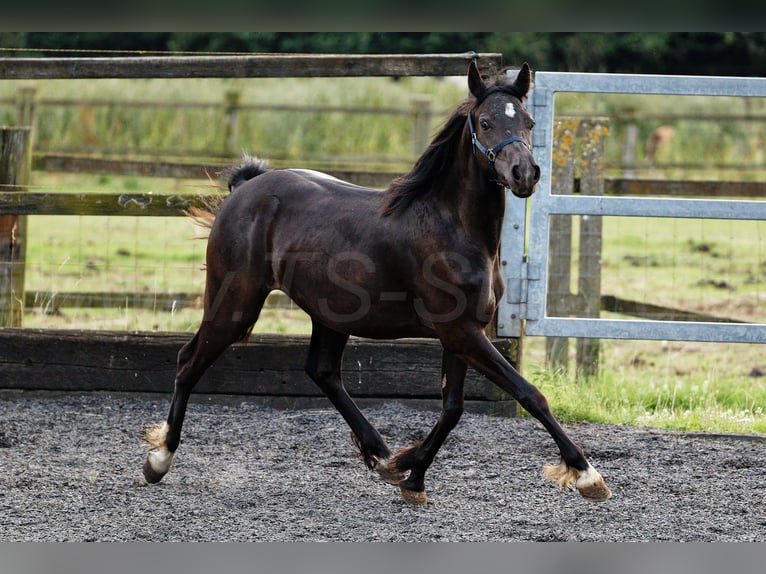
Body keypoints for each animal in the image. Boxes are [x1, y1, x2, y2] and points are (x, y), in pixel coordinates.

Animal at [142, 60, 612, 506]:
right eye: (485, 122)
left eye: (529, 122)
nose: (524, 173)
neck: (454, 228)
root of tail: (245, 188)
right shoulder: (461, 331)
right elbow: (529, 394)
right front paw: (587, 475)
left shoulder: (462, 333)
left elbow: (453, 409)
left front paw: (411, 477)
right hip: (234, 302)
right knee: (188, 360)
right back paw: (158, 460)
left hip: (329, 313)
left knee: (322, 371)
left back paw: (381, 453)